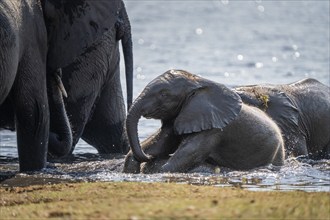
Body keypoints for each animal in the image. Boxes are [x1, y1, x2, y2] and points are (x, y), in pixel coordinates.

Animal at [123, 69, 284, 173]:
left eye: (164, 94)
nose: (148, 158)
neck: (197, 81)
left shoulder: (213, 129)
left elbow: (185, 155)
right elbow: (161, 143)